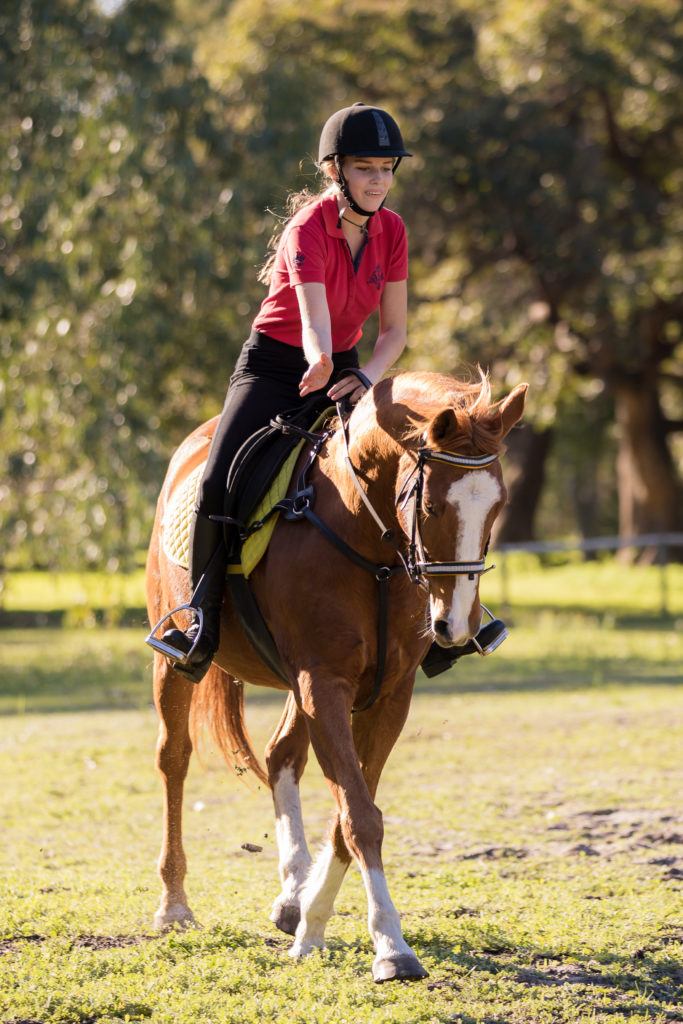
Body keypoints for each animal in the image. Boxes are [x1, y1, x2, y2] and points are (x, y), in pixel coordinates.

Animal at [147, 370, 528, 983]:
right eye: (432, 507)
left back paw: (292, 893)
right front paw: (391, 946)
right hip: (175, 660)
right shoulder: (323, 683)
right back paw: (174, 905)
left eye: (499, 504)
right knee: (174, 759)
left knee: (280, 754)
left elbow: (352, 810)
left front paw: (312, 924)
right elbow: (361, 816)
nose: (456, 625)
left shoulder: (387, 692)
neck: (373, 548)